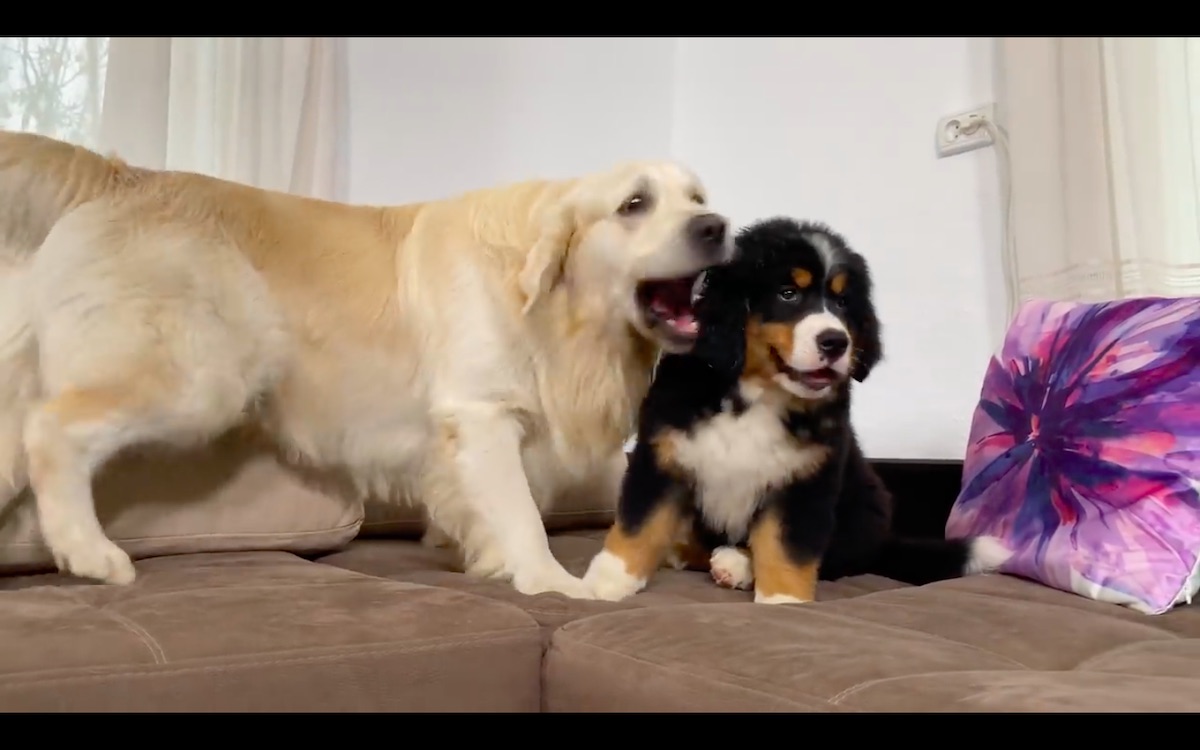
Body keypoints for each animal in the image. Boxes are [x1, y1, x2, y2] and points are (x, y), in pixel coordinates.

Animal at [0, 128, 729, 597]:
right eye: (634, 204)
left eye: (697, 197)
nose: (716, 226)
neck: (561, 313)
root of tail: (123, 175)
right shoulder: (482, 414)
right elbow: (522, 512)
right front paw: (554, 583)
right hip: (200, 378)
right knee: (52, 430)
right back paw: (89, 552)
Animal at [583, 216, 1012, 602]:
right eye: (788, 293)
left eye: (842, 301)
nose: (835, 342)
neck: (756, 395)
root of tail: (882, 541)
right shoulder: (663, 456)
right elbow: (640, 523)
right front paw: (606, 583)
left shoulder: (805, 480)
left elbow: (787, 548)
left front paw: (783, 601)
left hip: (861, 507)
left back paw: (736, 564)